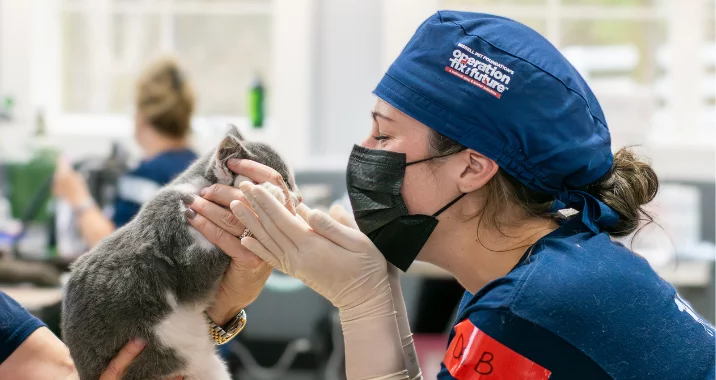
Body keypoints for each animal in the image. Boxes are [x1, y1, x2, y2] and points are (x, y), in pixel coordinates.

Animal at [60, 126, 298, 378]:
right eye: (285, 180)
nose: (298, 197)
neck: (196, 192)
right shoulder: (177, 246)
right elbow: (199, 270)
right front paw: (269, 194)